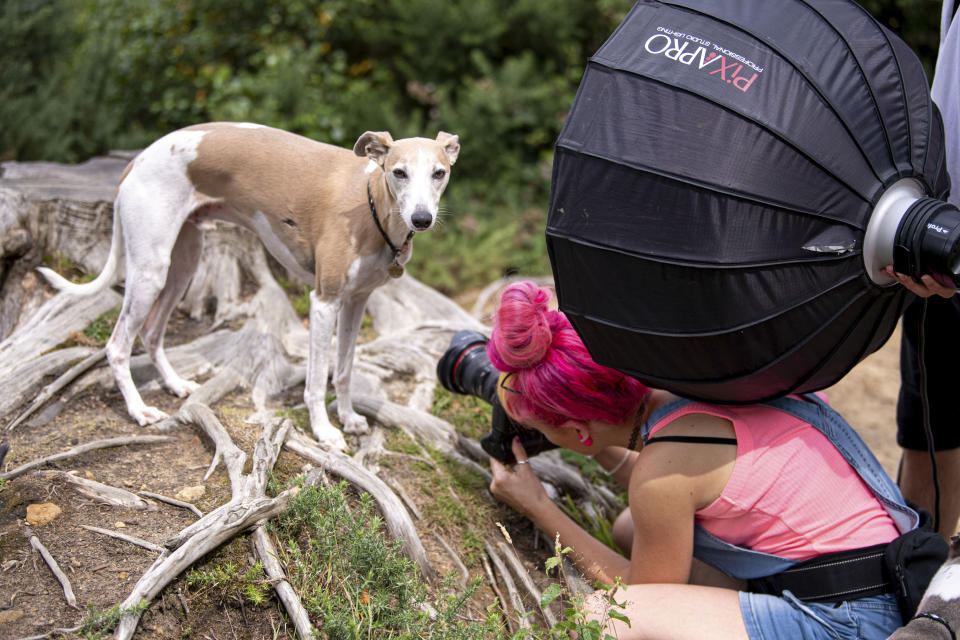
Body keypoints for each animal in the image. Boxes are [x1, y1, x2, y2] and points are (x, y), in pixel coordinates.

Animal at [36, 121, 458, 450]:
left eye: (439, 173)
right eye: (399, 172)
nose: (421, 219)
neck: (370, 205)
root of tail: (136, 160)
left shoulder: (356, 301)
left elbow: (343, 369)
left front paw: (350, 417)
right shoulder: (324, 302)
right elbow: (316, 379)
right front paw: (324, 432)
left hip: (184, 263)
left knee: (152, 332)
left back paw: (175, 385)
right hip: (150, 271)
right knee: (118, 344)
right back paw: (139, 410)